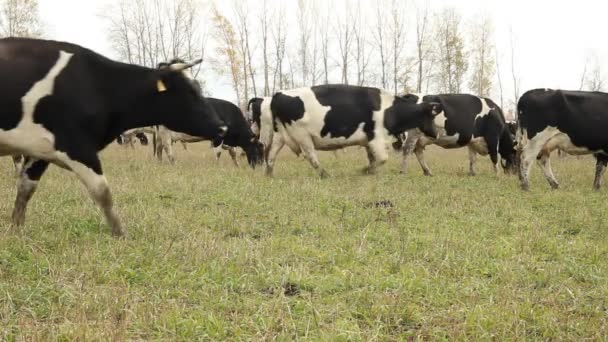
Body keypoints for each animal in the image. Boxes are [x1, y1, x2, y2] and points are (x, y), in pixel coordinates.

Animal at [0, 36, 227, 235]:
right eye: (190, 92)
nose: (222, 127)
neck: (99, 86)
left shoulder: (39, 150)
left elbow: (25, 189)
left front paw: (15, 230)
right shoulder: (77, 147)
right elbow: (103, 192)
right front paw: (120, 234)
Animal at [262, 84, 442, 178]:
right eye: (431, 116)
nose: (437, 133)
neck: (388, 108)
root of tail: (279, 94)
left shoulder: (368, 141)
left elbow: (373, 158)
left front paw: (370, 171)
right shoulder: (376, 137)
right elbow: (382, 158)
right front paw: (365, 170)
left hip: (280, 136)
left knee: (271, 155)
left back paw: (269, 175)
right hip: (302, 135)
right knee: (311, 156)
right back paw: (324, 174)